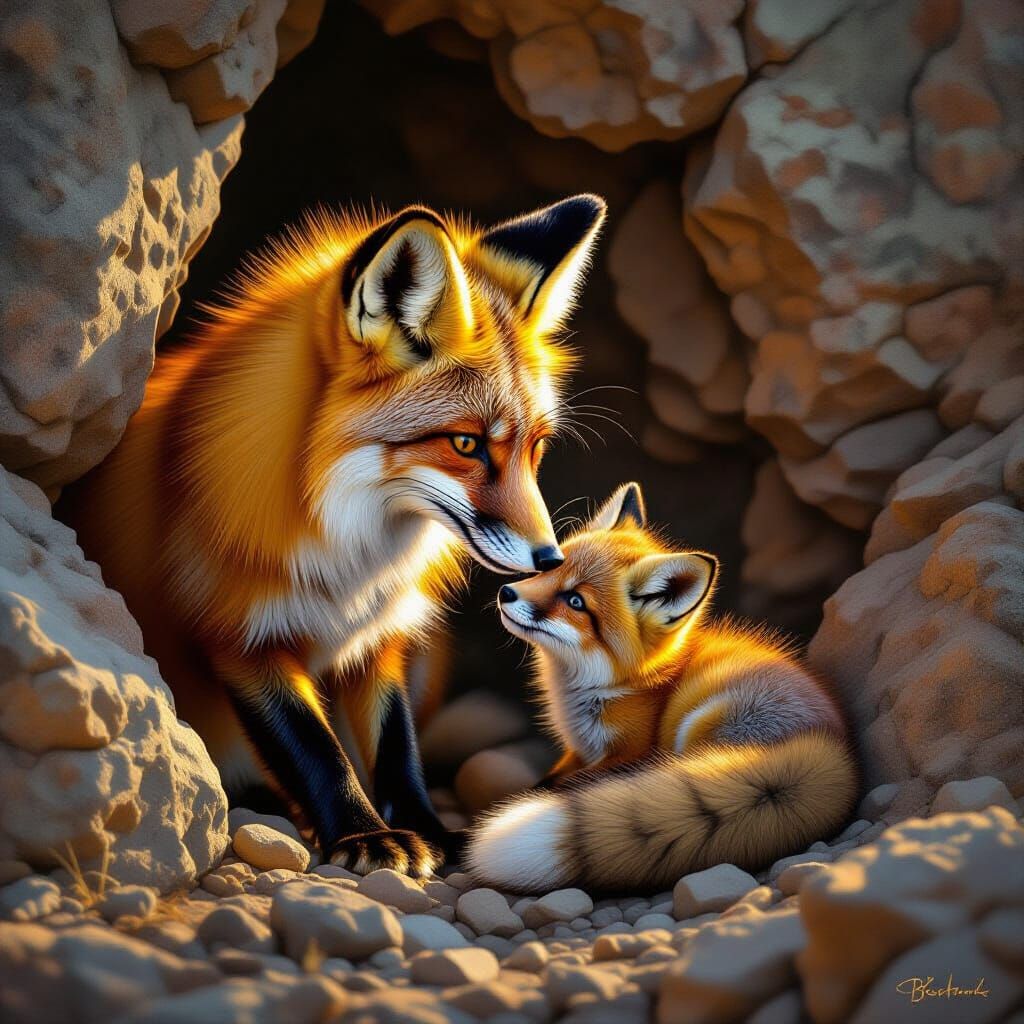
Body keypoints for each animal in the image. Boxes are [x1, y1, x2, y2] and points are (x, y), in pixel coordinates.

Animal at [66, 194, 607, 877]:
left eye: (536, 448)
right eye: (466, 444)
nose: (549, 558)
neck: (353, 558)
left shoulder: (380, 636)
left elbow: (395, 746)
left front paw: (429, 830)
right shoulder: (240, 636)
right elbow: (315, 750)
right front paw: (364, 836)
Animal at [465, 482, 858, 892]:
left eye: (575, 601)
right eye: (551, 570)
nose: (507, 593)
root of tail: (835, 754)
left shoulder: (631, 752)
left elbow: (562, 785)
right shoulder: (579, 752)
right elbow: (549, 778)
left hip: (699, 725)